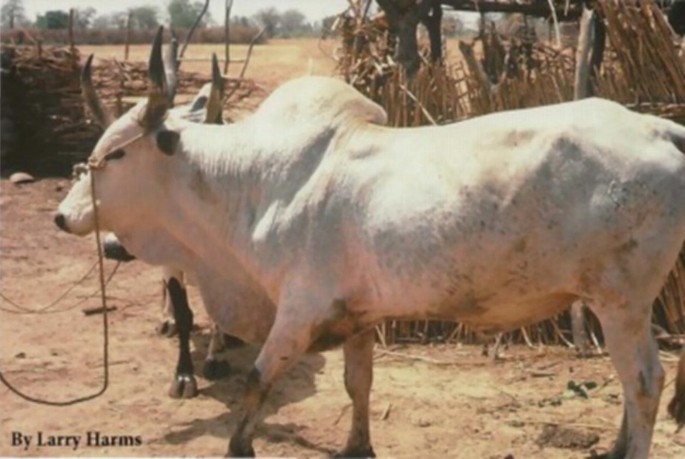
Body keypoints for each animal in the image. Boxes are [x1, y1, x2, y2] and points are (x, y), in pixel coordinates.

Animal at [56, 27, 685, 458]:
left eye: (114, 155)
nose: (63, 217)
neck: (252, 184)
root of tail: (657, 126)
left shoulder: (299, 309)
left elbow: (257, 380)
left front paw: (241, 445)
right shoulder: (355, 315)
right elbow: (358, 384)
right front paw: (358, 446)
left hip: (622, 301)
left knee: (644, 382)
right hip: (614, 305)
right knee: (631, 383)